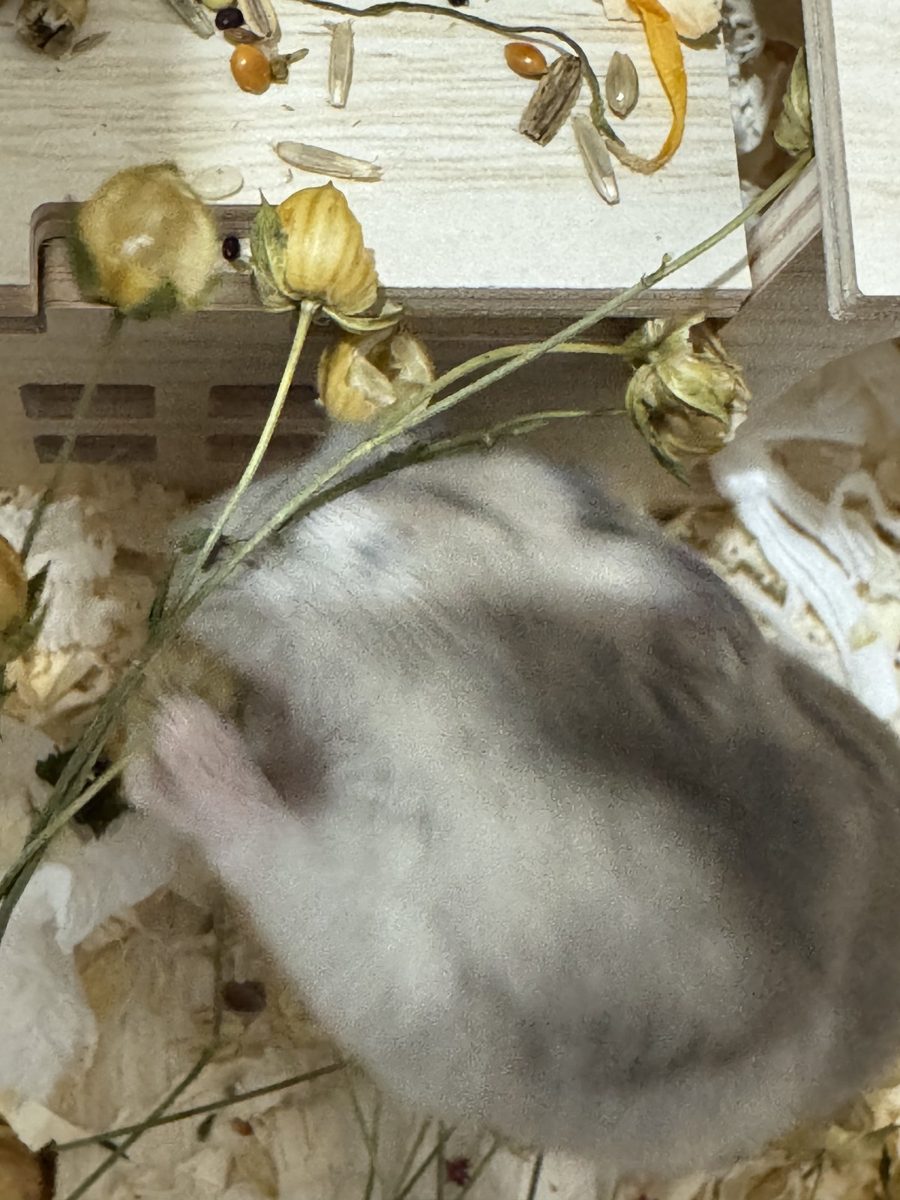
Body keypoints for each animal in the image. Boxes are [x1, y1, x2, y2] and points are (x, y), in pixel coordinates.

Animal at [125, 432, 900, 1179]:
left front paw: (169, 739)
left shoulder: (420, 959)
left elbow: (289, 860)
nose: (178, 540)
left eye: (444, 499)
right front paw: (244, 723)